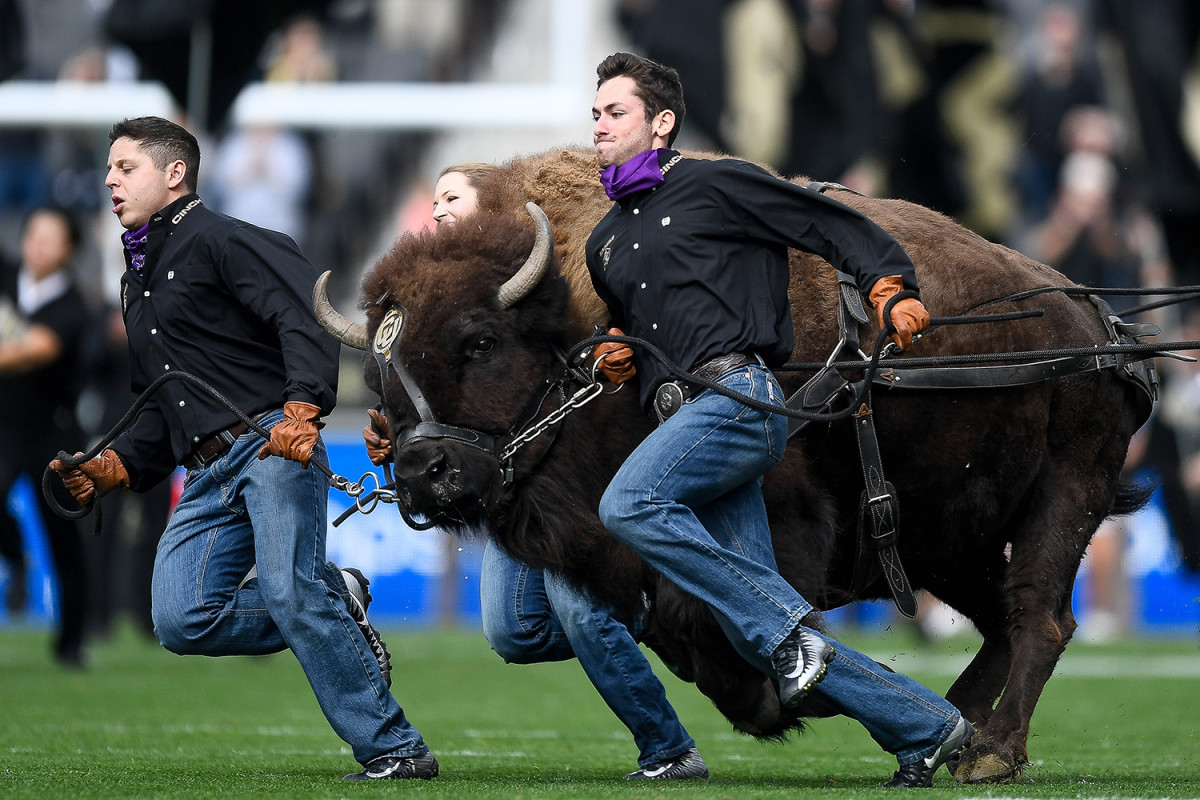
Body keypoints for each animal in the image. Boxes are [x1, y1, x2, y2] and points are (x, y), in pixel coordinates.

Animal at [316, 146, 1152, 786]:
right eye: (381, 366)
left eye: (479, 340)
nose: (422, 471)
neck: (583, 332)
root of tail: (1096, 321)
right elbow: (673, 625)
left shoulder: (774, 522)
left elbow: (721, 613)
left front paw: (791, 697)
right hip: (950, 537)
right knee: (1001, 620)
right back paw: (956, 731)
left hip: (1063, 492)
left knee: (1040, 616)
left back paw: (989, 753)